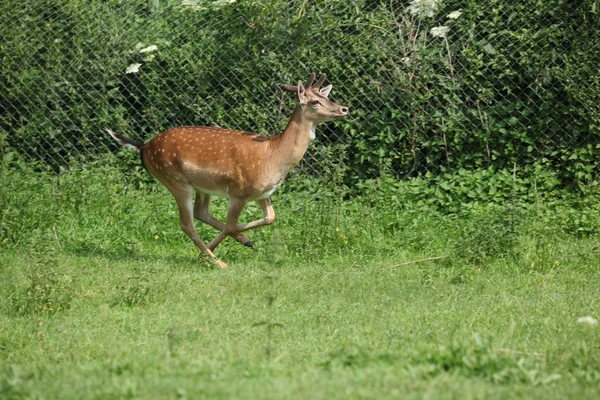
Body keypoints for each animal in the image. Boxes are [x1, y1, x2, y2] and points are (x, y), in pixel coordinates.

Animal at [108, 74, 346, 268]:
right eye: (315, 101)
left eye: (327, 97)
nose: (344, 109)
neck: (273, 155)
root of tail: (144, 147)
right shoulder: (239, 191)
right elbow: (231, 226)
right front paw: (216, 251)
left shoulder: (263, 193)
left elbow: (270, 218)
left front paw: (240, 241)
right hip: (175, 180)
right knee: (187, 224)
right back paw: (220, 262)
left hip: (202, 187)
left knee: (201, 212)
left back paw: (234, 245)